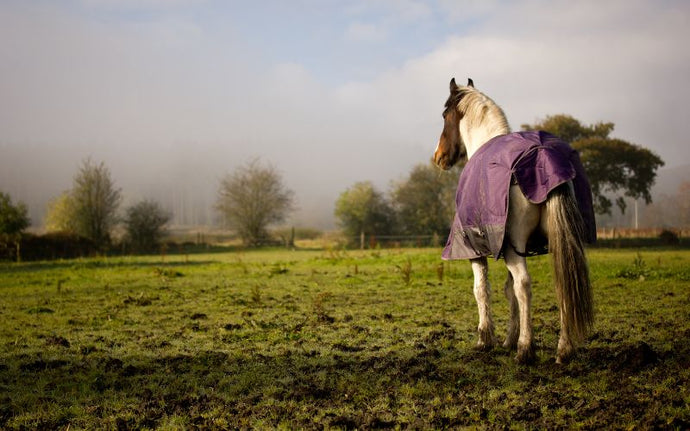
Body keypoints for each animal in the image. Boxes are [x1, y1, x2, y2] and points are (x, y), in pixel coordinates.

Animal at [432, 77, 592, 364]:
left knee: (524, 285)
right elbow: (508, 291)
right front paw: (508, 339)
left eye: (444, 115)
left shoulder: (477, 248)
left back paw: (525, 349)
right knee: (563, 283)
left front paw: (486, 339)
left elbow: (482, 289)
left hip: (514, 246)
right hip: (555, 243)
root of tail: (544, 156)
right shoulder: (508, 248)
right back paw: (563, 349)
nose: (438, 157)